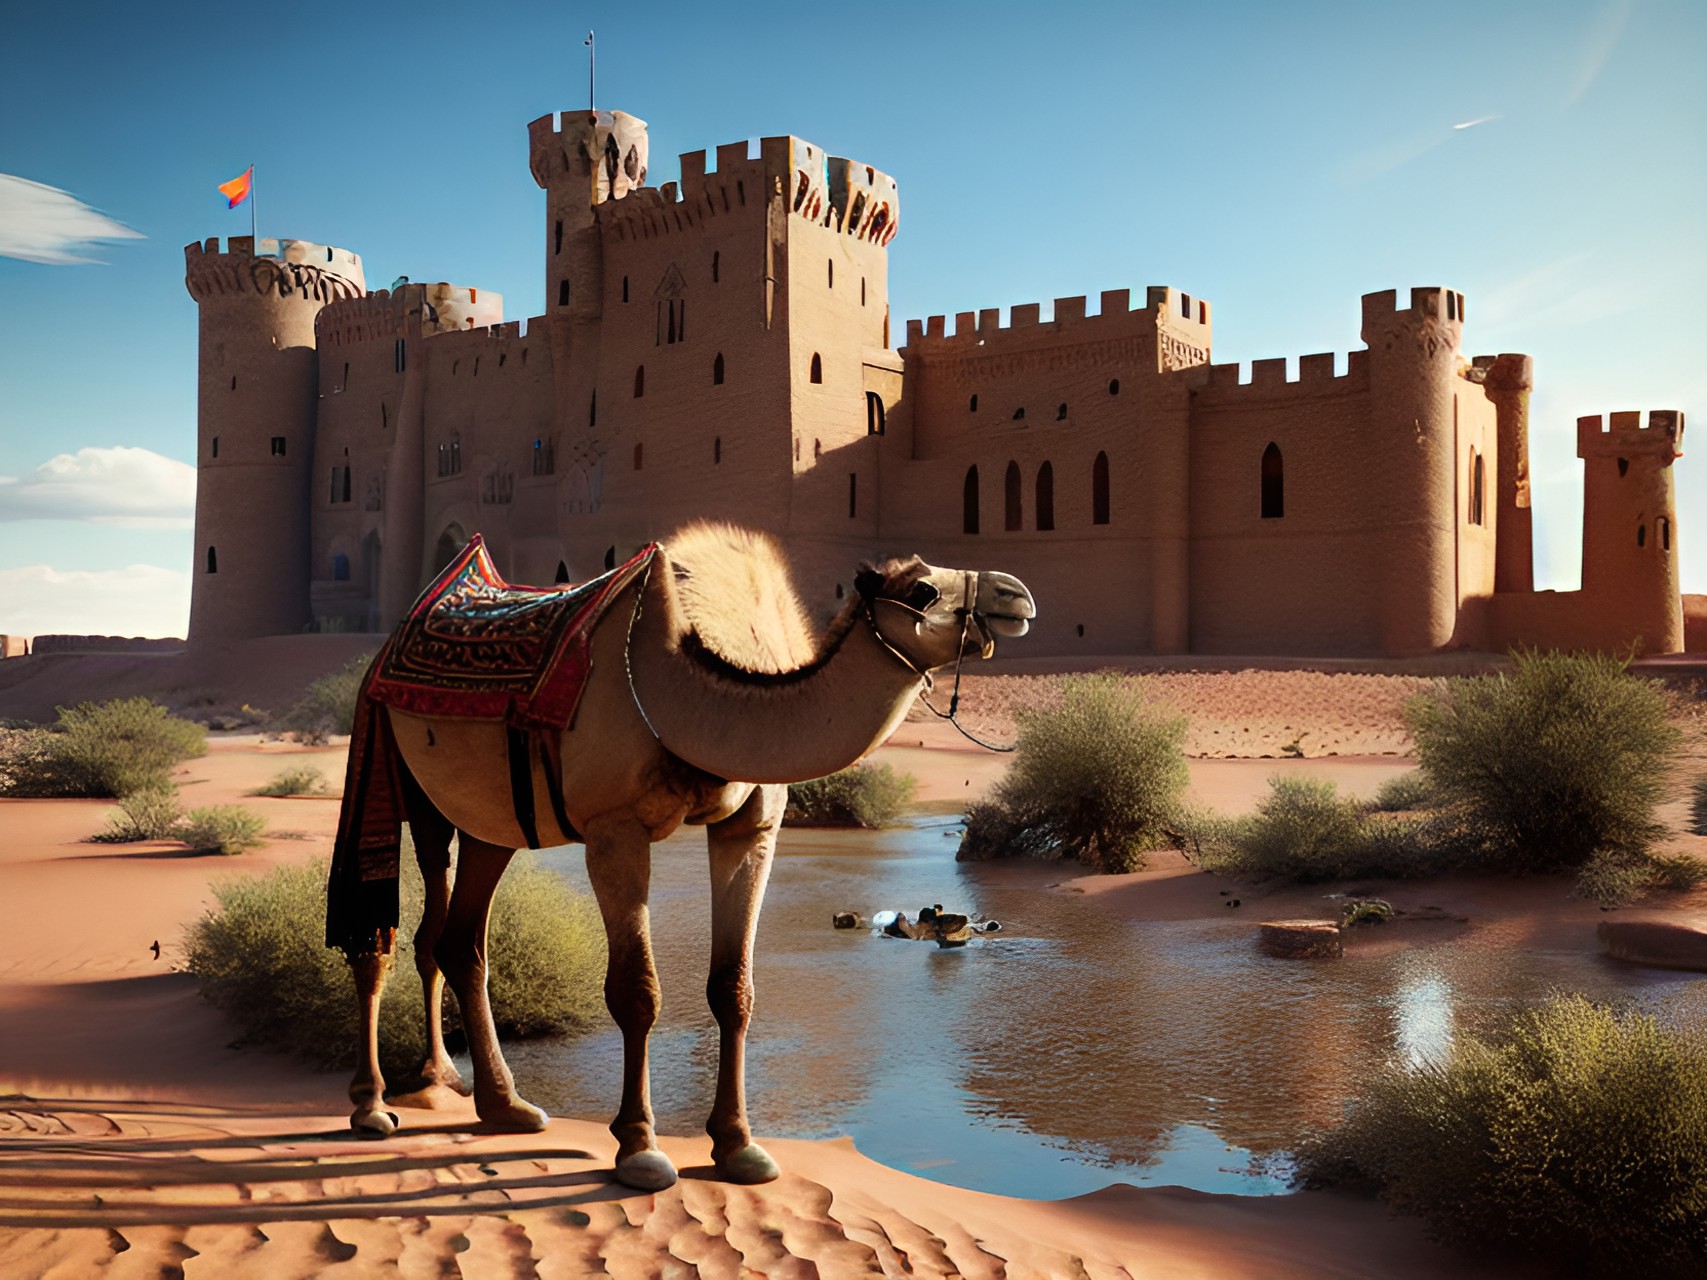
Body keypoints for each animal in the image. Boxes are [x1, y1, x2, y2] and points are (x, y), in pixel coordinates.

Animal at [326, 522, 1031, 1194]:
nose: (1015, 595)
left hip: (487, 823)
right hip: (395, 775)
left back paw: (502, 1106)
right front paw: (640, 1149)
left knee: (458, 942)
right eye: (923, 590)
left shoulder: (752, 827)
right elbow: (637, 992)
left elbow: (734, 988)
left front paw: (739, 1147)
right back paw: (375, 1106)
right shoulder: (615, 829)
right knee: (386, 936)